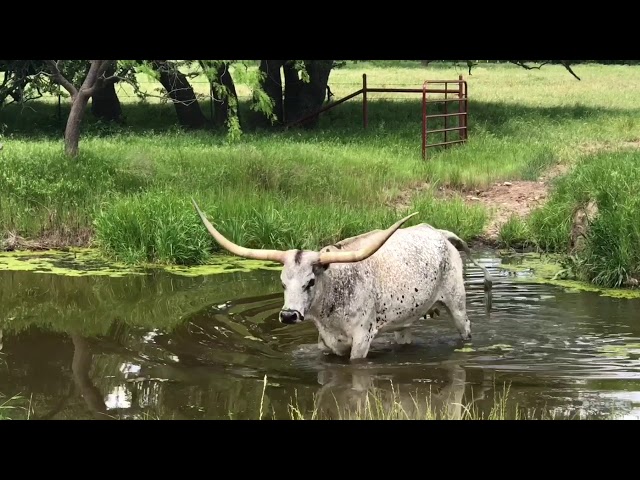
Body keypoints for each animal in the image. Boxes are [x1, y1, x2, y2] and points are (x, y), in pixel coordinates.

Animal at [192, 199, 494, 361]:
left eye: (310, 281)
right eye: (282, 283)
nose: (289, 315)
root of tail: (440, 233)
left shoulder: (362, 339)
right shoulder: (325, 341)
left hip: (457, 305)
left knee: (465, 328)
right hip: (404, 320)